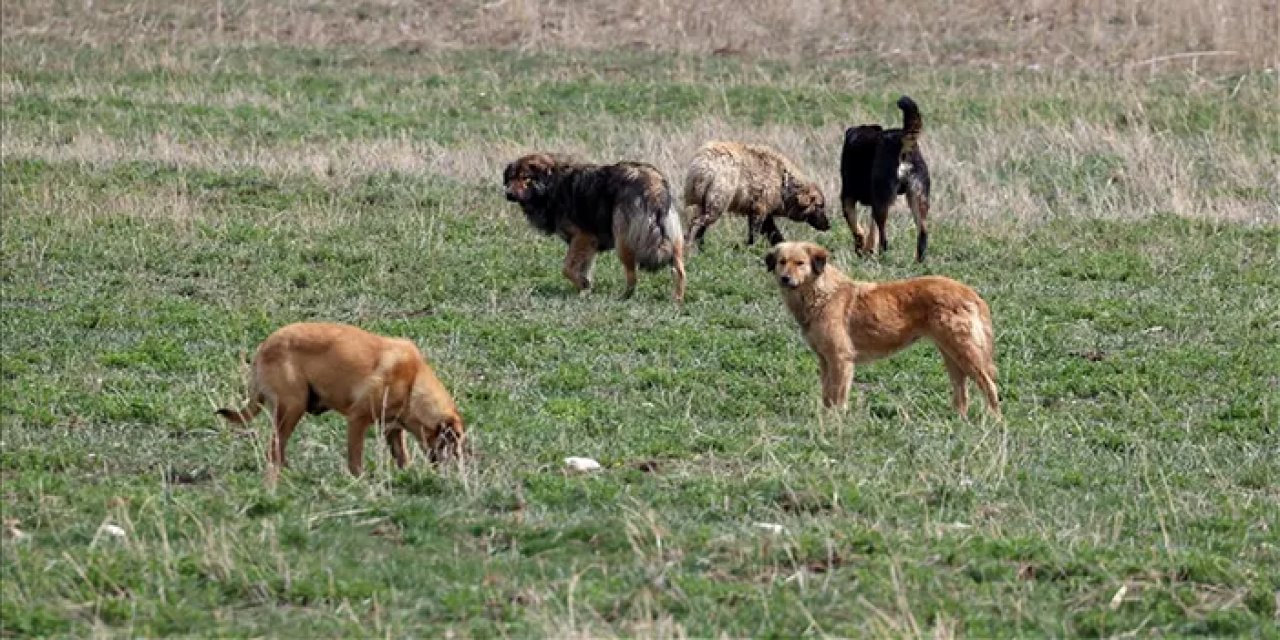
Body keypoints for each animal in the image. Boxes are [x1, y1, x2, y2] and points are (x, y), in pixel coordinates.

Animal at [217, 325, 468, 476]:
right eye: (452, 442)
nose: (454, 471)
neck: (413, 382)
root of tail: (263, 348)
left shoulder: (392, 429)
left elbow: (401, 457)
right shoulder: (358, 419)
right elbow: (355, 458)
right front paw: (359, 480)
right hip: (293, 407)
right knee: (274, 450)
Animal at [501, 153, 686, 300]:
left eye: (526, 178)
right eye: (510, 178)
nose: (508, 194)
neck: (552, 184)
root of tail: (653, 184)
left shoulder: (583, 237)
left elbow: (567, 268)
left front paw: (584, 285)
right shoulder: (589, 245)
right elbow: (583, 269)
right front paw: (585, 291)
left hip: (623, 242)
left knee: (633, 276)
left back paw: (624, 297)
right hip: (673, 240)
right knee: (679, 271)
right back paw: (677, 300)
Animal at [680, 142, 829, 249]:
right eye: (820, 206)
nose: (828, 225)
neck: (784, 185)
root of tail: (703, 165)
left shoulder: (764, 208)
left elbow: (773, 232)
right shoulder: (760, 206)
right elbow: (756, 231)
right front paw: (752, 247)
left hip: (696, 197)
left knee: (699, 222)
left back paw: (700, 246)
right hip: (719, 197)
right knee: (698, 222)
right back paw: (692, 247)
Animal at [762, 241, 993, 417]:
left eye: (800, 263)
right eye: (782, 262)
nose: (785, 278)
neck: (821, 294)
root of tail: (969, 292)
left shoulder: (841, 359)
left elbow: (837, 396)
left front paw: (836, 421)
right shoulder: (825, 360)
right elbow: (827, 395)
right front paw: (826, 418)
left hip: (965, 353)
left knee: (989, 385)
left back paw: (994, 421)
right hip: (952, 356)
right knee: (962, 393)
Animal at [839, 94, 931, 262]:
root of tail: (902, 141)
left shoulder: (847, 197)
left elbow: (856, 228)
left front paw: (860, 248)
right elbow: (871, 231)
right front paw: (867, 250)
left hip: (882, 202)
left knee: (884, 238)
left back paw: (883, 258)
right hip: (918, 198)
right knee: (923, 234)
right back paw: (918, 262)